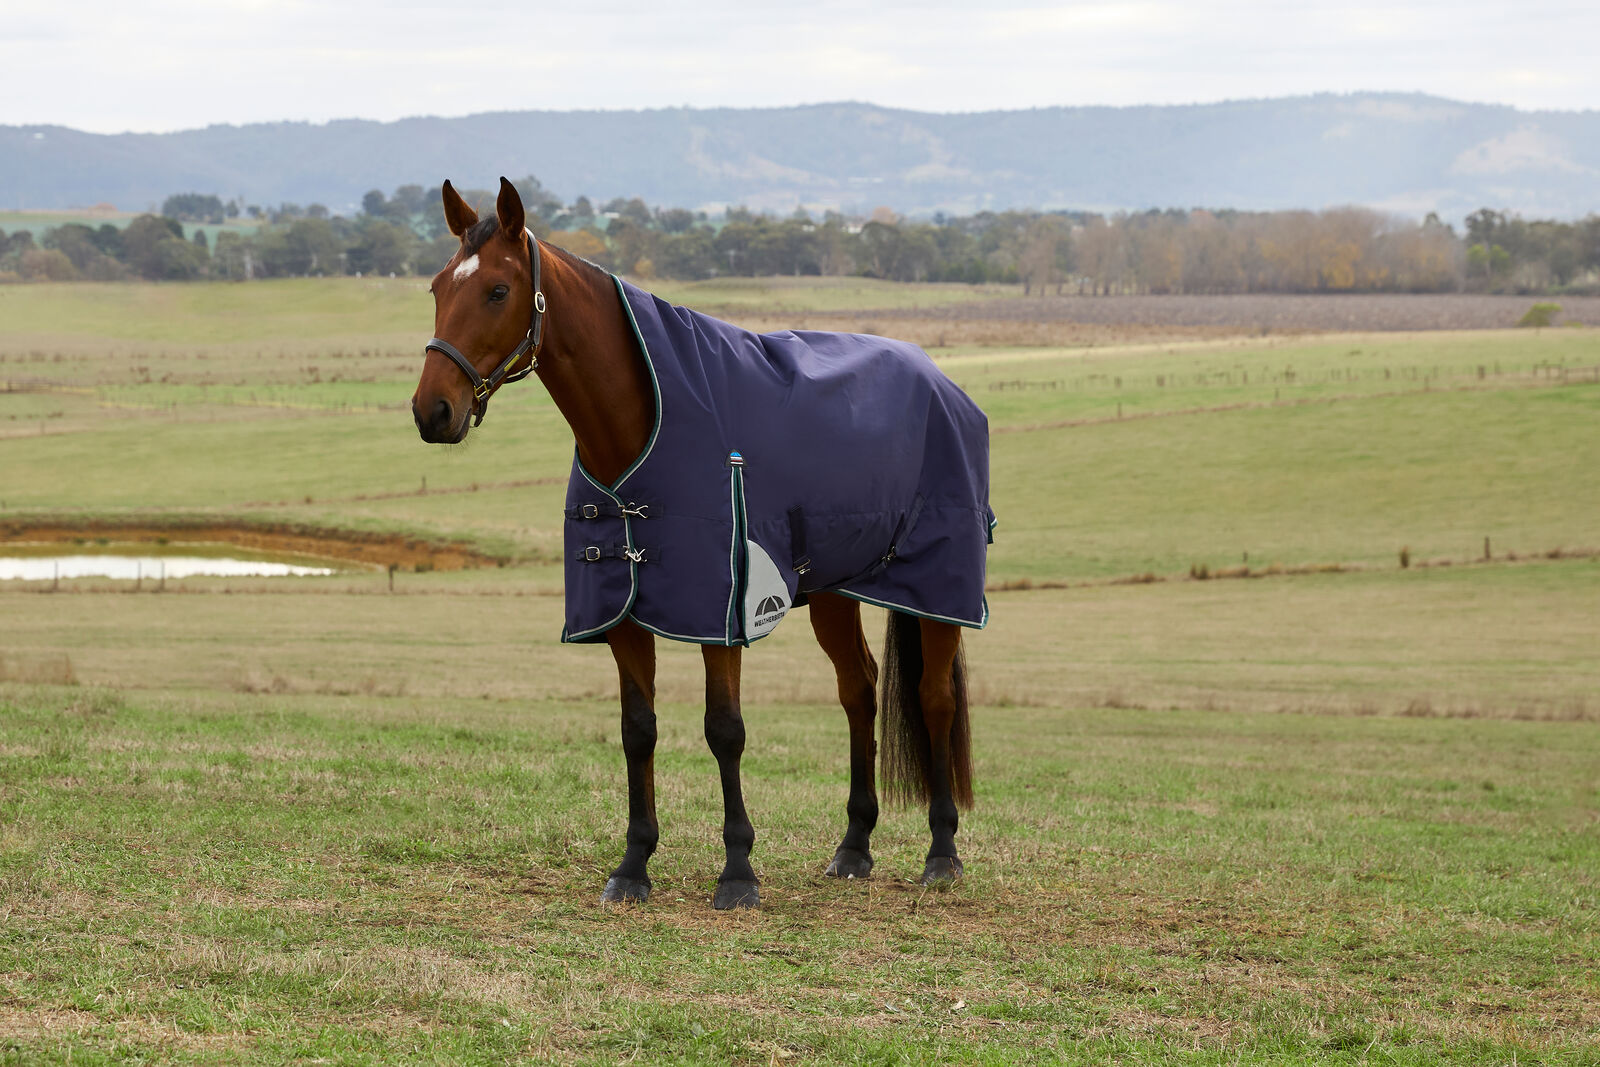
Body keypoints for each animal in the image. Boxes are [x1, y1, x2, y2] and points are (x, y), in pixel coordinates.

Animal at [411, 177, 993, 910]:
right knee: (859, 689)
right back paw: (853, 846)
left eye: (496, 290)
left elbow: (725, 731)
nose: (432, 411)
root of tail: (941, 382)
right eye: (436, 288)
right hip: (835, 590)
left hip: (937, 588)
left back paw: (942, 853)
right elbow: (638, 730)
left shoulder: (724, 611)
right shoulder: (624, 612)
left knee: (933, 697)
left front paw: (738, 871)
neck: (644, 424)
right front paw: (633, 865)